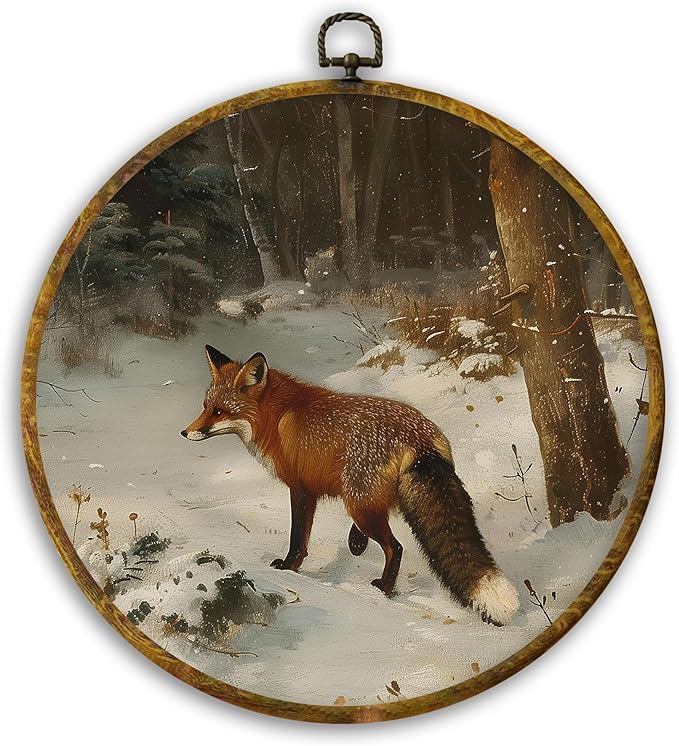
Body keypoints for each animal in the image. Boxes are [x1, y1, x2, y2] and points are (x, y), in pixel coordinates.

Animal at [181, 345, 519, 625]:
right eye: (205, 406)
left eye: (220, 412)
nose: (185, 433)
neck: (277, 417)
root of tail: (419, 439)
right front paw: (354, 545)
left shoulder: (301, 488)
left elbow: (297, 538)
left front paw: (288, 569)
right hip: (362, 497)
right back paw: (361, 547)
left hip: (358, 499)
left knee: (395, 547)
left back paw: (383, 588)